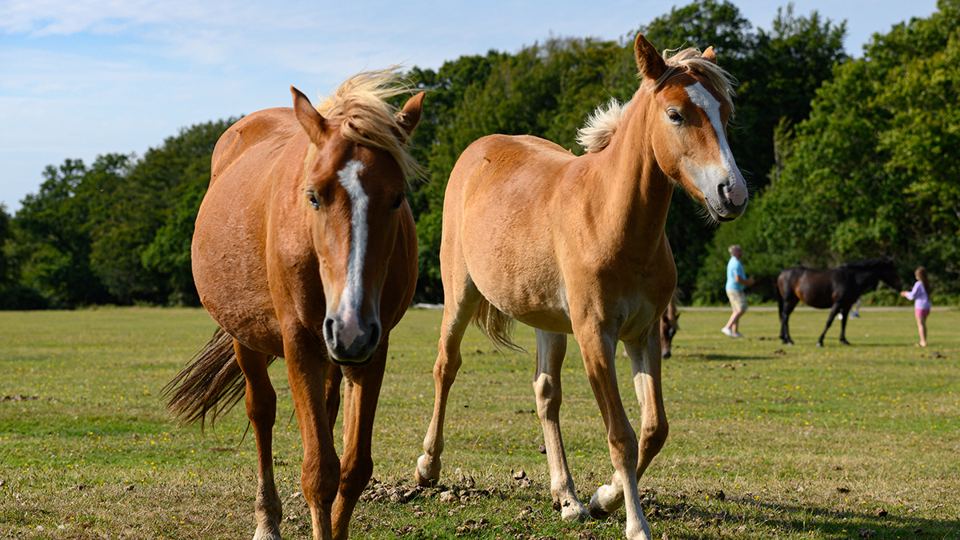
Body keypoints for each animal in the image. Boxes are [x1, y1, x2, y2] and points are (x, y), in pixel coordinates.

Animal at [163, 69, 424, 540]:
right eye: (314, 196)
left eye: (397, 197)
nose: (351, 327)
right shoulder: (300, 343)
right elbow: (319, 472)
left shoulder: (373, 349)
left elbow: (353, 469)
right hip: (246, 337)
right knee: (261, 411)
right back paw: (266, 520)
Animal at [413, 34, 746, 540]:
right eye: (676, 114)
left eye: (725, 113)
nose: (734, 193)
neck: (610, 218)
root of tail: (478, 150)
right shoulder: (595, 336)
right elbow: (621, 435)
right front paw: (635, 524)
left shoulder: (643, 334)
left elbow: (653, 429)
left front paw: (602, 498)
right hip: (460, 296)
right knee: (445, 367)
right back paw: (428, 467)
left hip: (548, 321)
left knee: (545, 394)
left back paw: (566, 495)